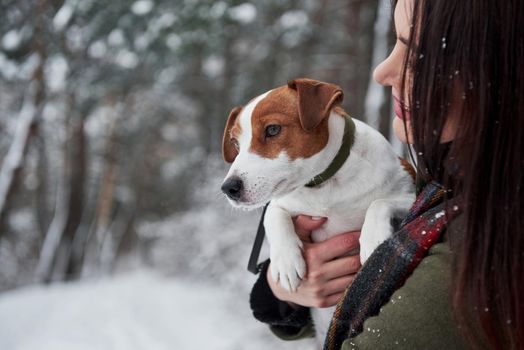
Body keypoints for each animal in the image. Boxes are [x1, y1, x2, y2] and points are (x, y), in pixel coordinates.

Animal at [219, 78, 416, 344]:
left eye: (272, 130)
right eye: (235, 143)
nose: (229, 188)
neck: (325, 184)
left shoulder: (409, 191)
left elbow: (379, 203)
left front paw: (373, 241)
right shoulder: (281, 203)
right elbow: (272, 215)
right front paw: (286, 261)